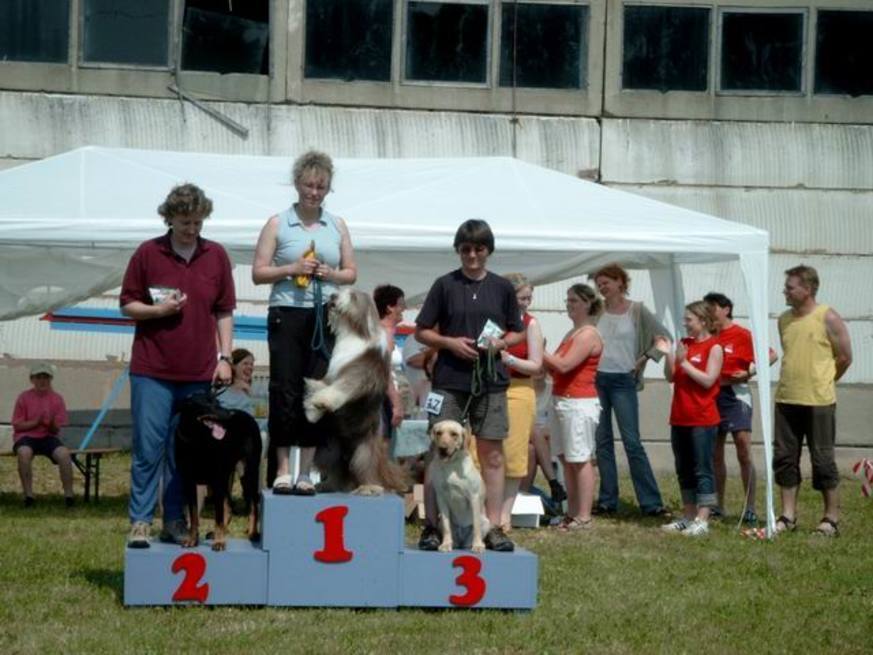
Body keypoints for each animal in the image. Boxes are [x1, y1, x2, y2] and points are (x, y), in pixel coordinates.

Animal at [175, 391, 262, 551]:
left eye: (218, 402)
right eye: (208, 403)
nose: (230, 414)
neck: (196, 440)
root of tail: (249, 416)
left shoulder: (216, 480)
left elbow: (218, 516)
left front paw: (219, 542)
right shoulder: (189, 482)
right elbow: (194, 516)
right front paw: (192, 540)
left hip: (247, 472)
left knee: (253, 504)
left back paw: (253, 533)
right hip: (227, 476)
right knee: (229, 504)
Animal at [303, 287, 409, 495]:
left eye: (351, 296)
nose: (333, 296)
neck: (355, 334)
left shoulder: (361, 372)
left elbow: (343, 387)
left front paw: (321, 402)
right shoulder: (332, 373)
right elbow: (325, 385)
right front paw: (313, 409)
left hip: (363, 449)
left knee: (363, 468)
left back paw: (369, 487)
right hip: (329, 447)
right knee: (334, 469)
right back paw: (328, 485)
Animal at [428, 419, 490, 553]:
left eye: (454, 434)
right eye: (438, 433)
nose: (442, 448)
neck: (451, 465)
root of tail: (462, 542)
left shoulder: (474, 497)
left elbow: (476, 525)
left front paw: (477, 545)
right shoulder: (441, 498)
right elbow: (446, 525)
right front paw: (446, 544)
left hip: (486, 521)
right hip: (440, 522)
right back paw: (453, 543)